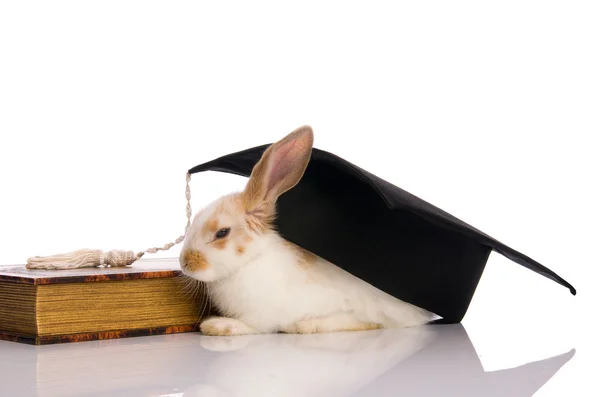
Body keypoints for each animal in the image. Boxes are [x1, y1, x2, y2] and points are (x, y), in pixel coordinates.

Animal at [178, 124, 436, 334]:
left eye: (222, 232)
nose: (185, 263)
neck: (252, 259)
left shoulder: (262, 316)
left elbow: (252, 326)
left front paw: (218, 326)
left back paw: (304, 325)